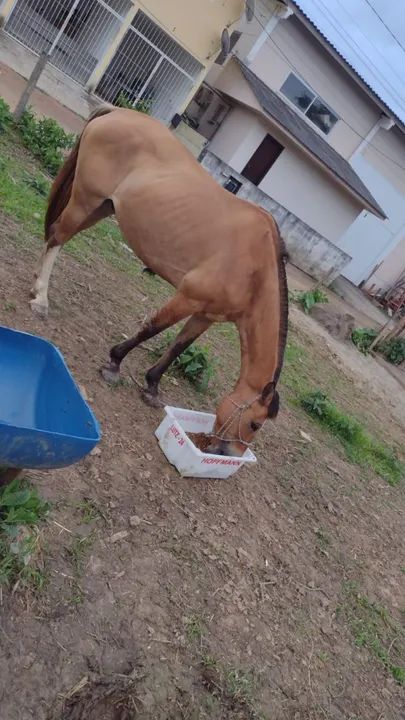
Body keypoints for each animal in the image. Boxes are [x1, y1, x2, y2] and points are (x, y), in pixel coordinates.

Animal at [30, 106, 289, 457]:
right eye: (255, 424)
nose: (226, 454)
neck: (253, 268)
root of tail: (117, 112)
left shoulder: (205, 314)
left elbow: (178, 347)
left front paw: (152, 386)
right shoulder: (187, 297)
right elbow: (152, 328)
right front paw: (114, 364)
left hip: (101, 208)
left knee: (55, 235)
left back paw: (36, 286)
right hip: (86, 199)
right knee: (58, 237)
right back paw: (41, 299)